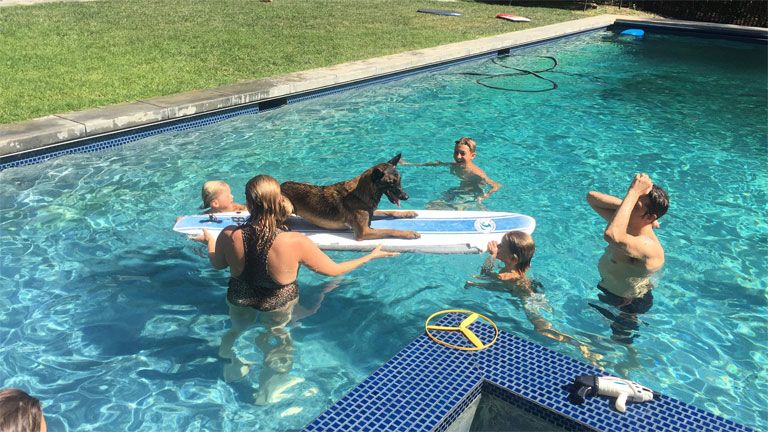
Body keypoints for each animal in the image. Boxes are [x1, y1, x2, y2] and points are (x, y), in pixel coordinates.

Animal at [281, 154, 421, 241]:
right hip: (287, 205)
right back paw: (283, 225)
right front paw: (409, 233)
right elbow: (391, 230)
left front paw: (408, 213)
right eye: (391, 183)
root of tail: (280, 185)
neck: (361, 192)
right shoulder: (364, 232)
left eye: (400, 181)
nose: (406, 196)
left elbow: (389, 211)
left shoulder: (371, 210)